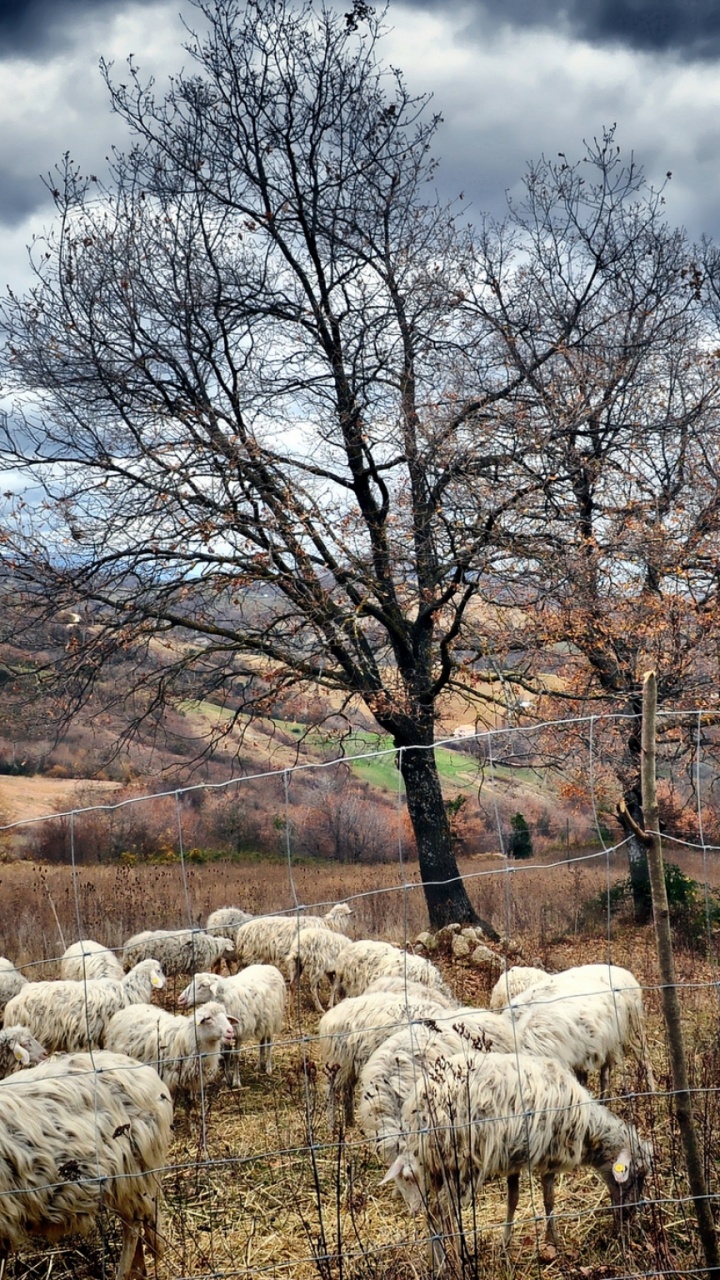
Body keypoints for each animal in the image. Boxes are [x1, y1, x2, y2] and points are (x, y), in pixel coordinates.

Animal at [317, 989, 456, 1127]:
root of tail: (329, 1017)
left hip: (349, 1066)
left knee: (348, 1090)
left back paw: (350, 1121)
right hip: (338, 1063)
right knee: (332, 1092)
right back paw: (332, 1126)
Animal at [381, 1050, 651, 1258]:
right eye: (637, 1175)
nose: (629, 1215)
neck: (589, 1130)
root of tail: (420, 1105)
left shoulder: (513, 1158)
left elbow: (513, 1200)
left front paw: (506, 1243)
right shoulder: (551, 1156)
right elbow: (549, 1200)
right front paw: (553, 1240)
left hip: (434, 1165)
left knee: (432, 1212)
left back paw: (438, 1260)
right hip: (462, 1161)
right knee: (445, 1211)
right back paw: (457, 1257)